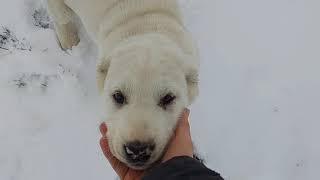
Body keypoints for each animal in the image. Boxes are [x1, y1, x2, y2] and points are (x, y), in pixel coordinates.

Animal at [47, 0, 199, 169]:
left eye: (168, 98)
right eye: (118, 96)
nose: (137, 150)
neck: (144, 23)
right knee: (61, 17)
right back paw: (70, 42)